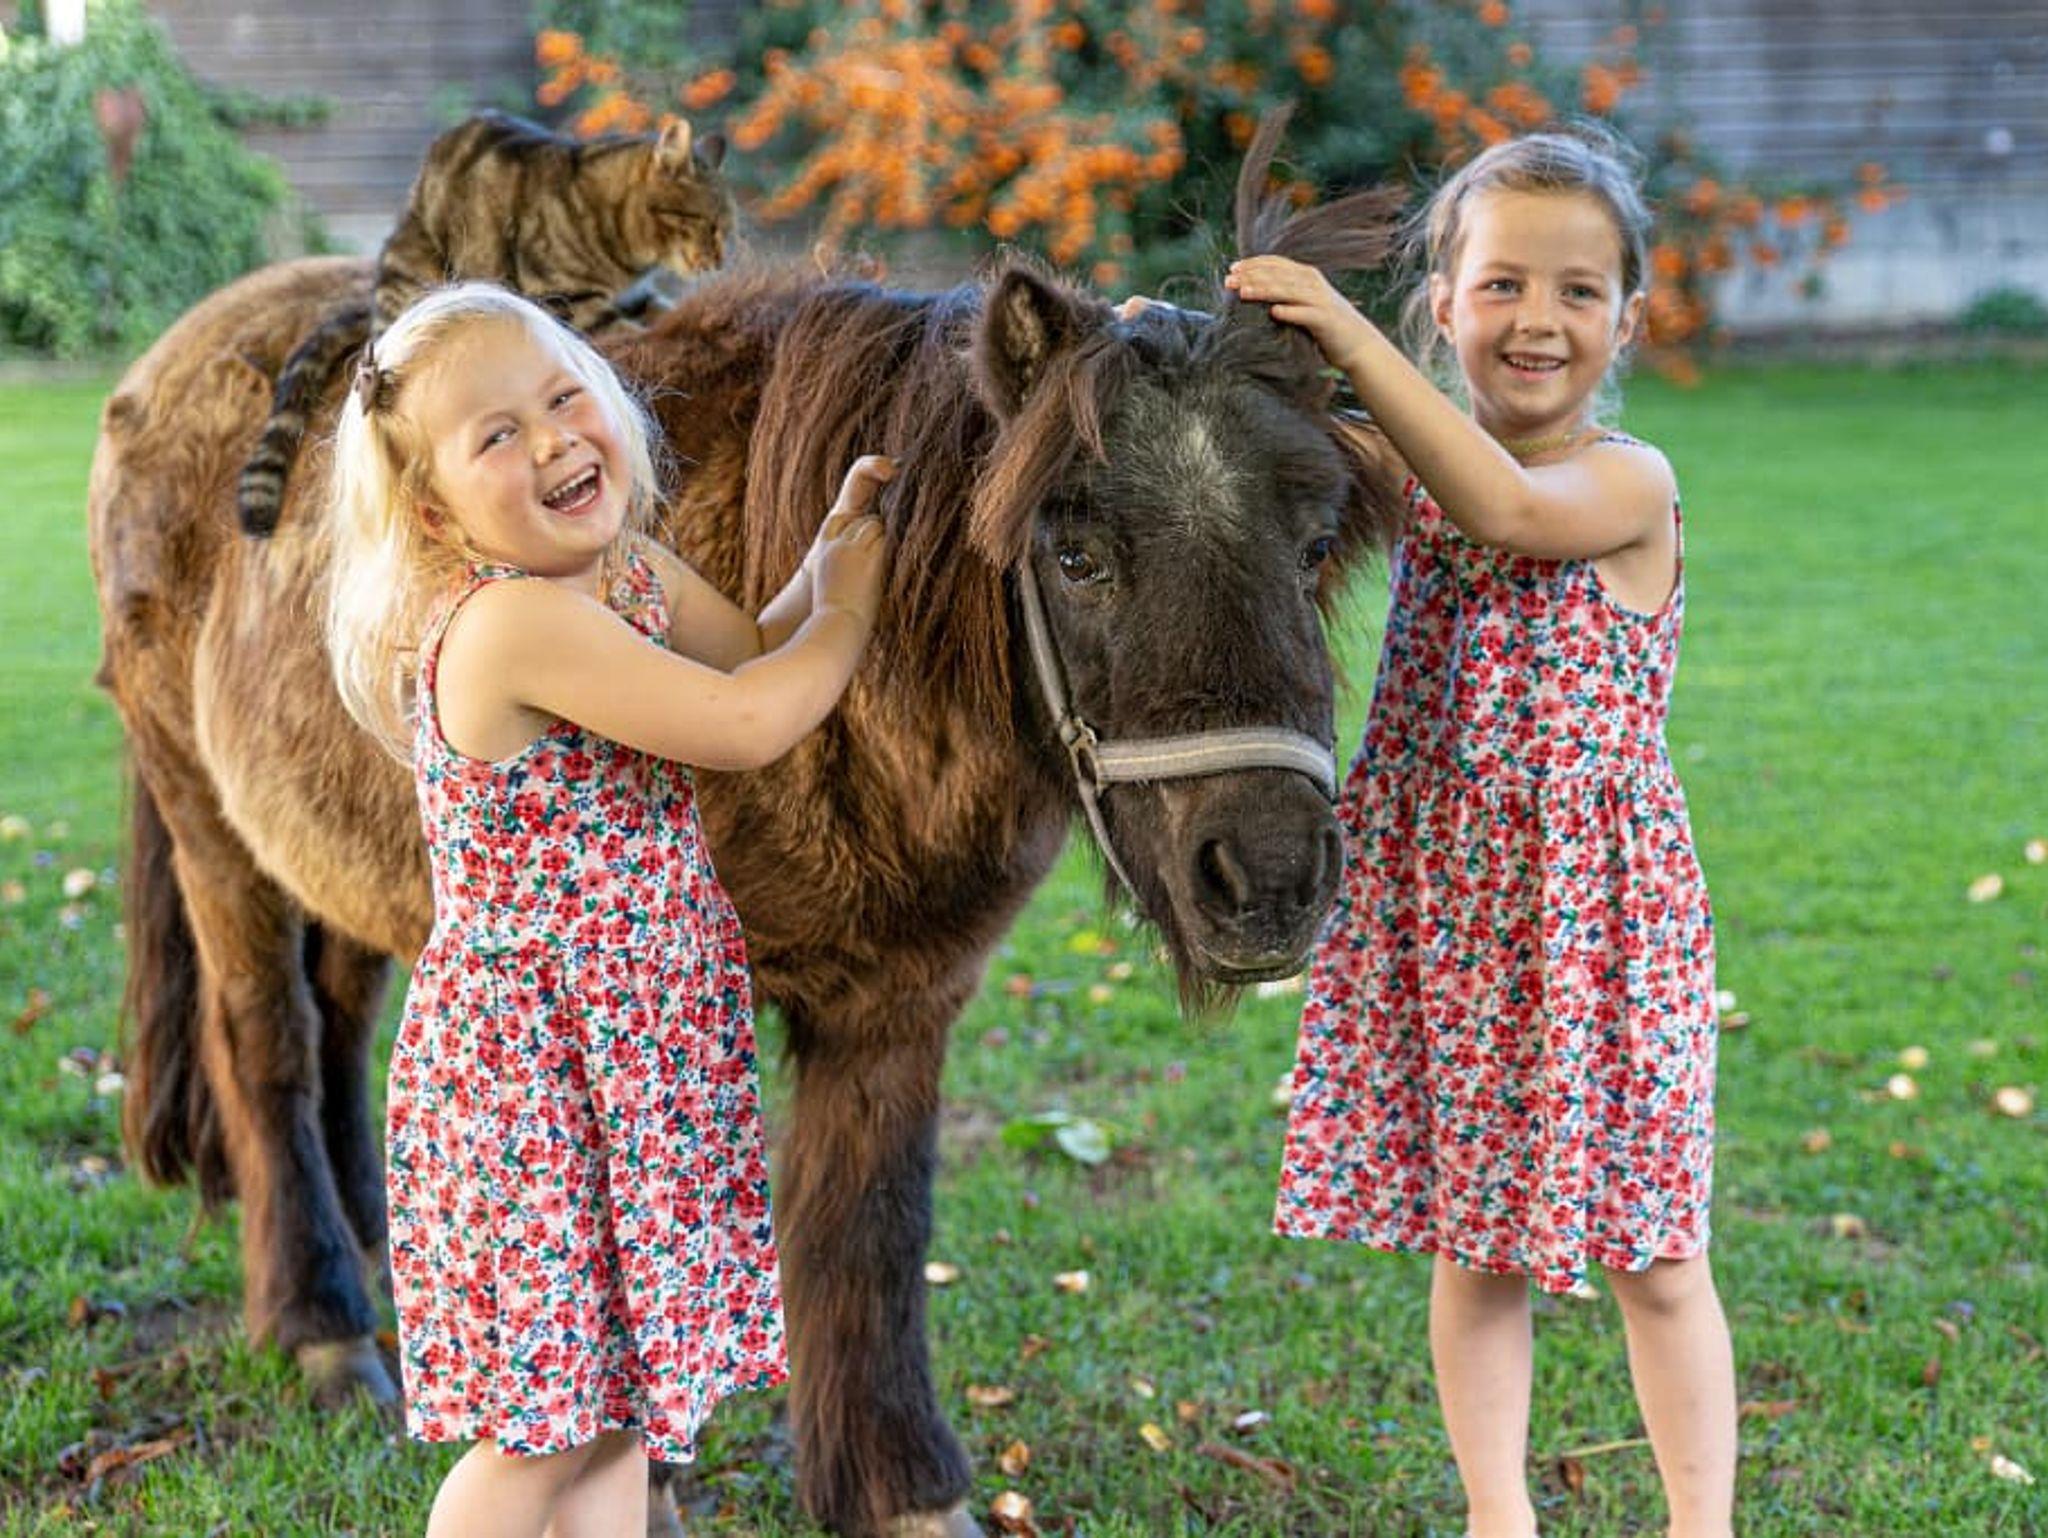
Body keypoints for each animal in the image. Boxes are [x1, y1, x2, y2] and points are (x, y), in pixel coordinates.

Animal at [86, 121, 1405, 1536]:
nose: (1265, 875)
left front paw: (897, 1487)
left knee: (337, 1017)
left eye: (1313, 543)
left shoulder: (899, 1001)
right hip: (210, 830)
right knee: (265, 1040)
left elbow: (866, 1223)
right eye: (1075, 554)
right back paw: (322, 1319)